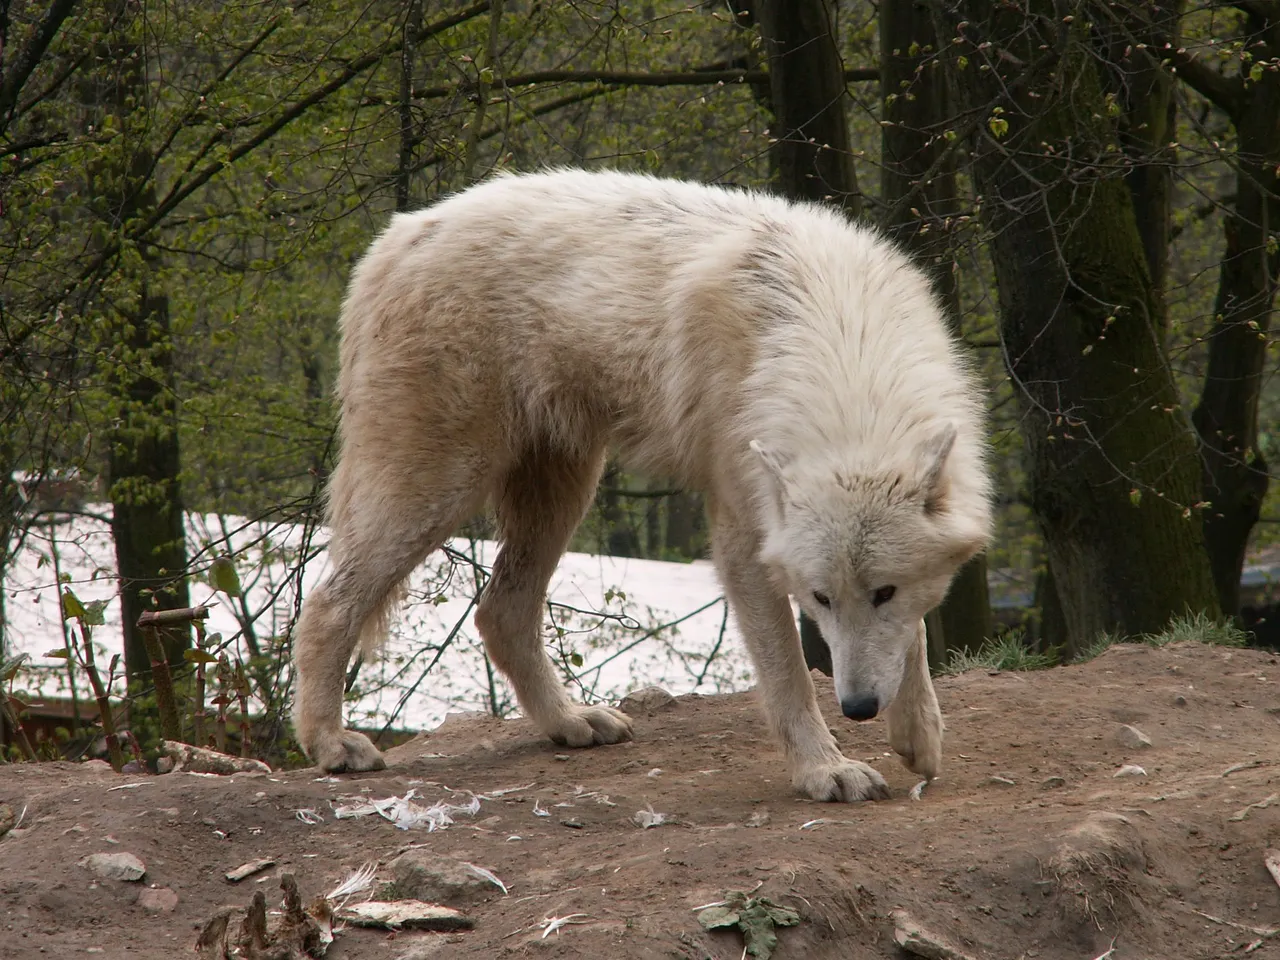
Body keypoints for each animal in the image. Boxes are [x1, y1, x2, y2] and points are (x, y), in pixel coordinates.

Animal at [290, 167, 988, 803]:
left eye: (883, 592)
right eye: (818, 599)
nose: (860, 706)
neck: (841, 343)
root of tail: (395, 238)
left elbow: (913, 636)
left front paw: (918, 736)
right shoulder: (741, 535)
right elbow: (788, 673)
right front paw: (825, 770)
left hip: (564, 489)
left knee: (500, 612)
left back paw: (569, 722)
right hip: (442, 486)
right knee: (327, 604)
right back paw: (330, 743)